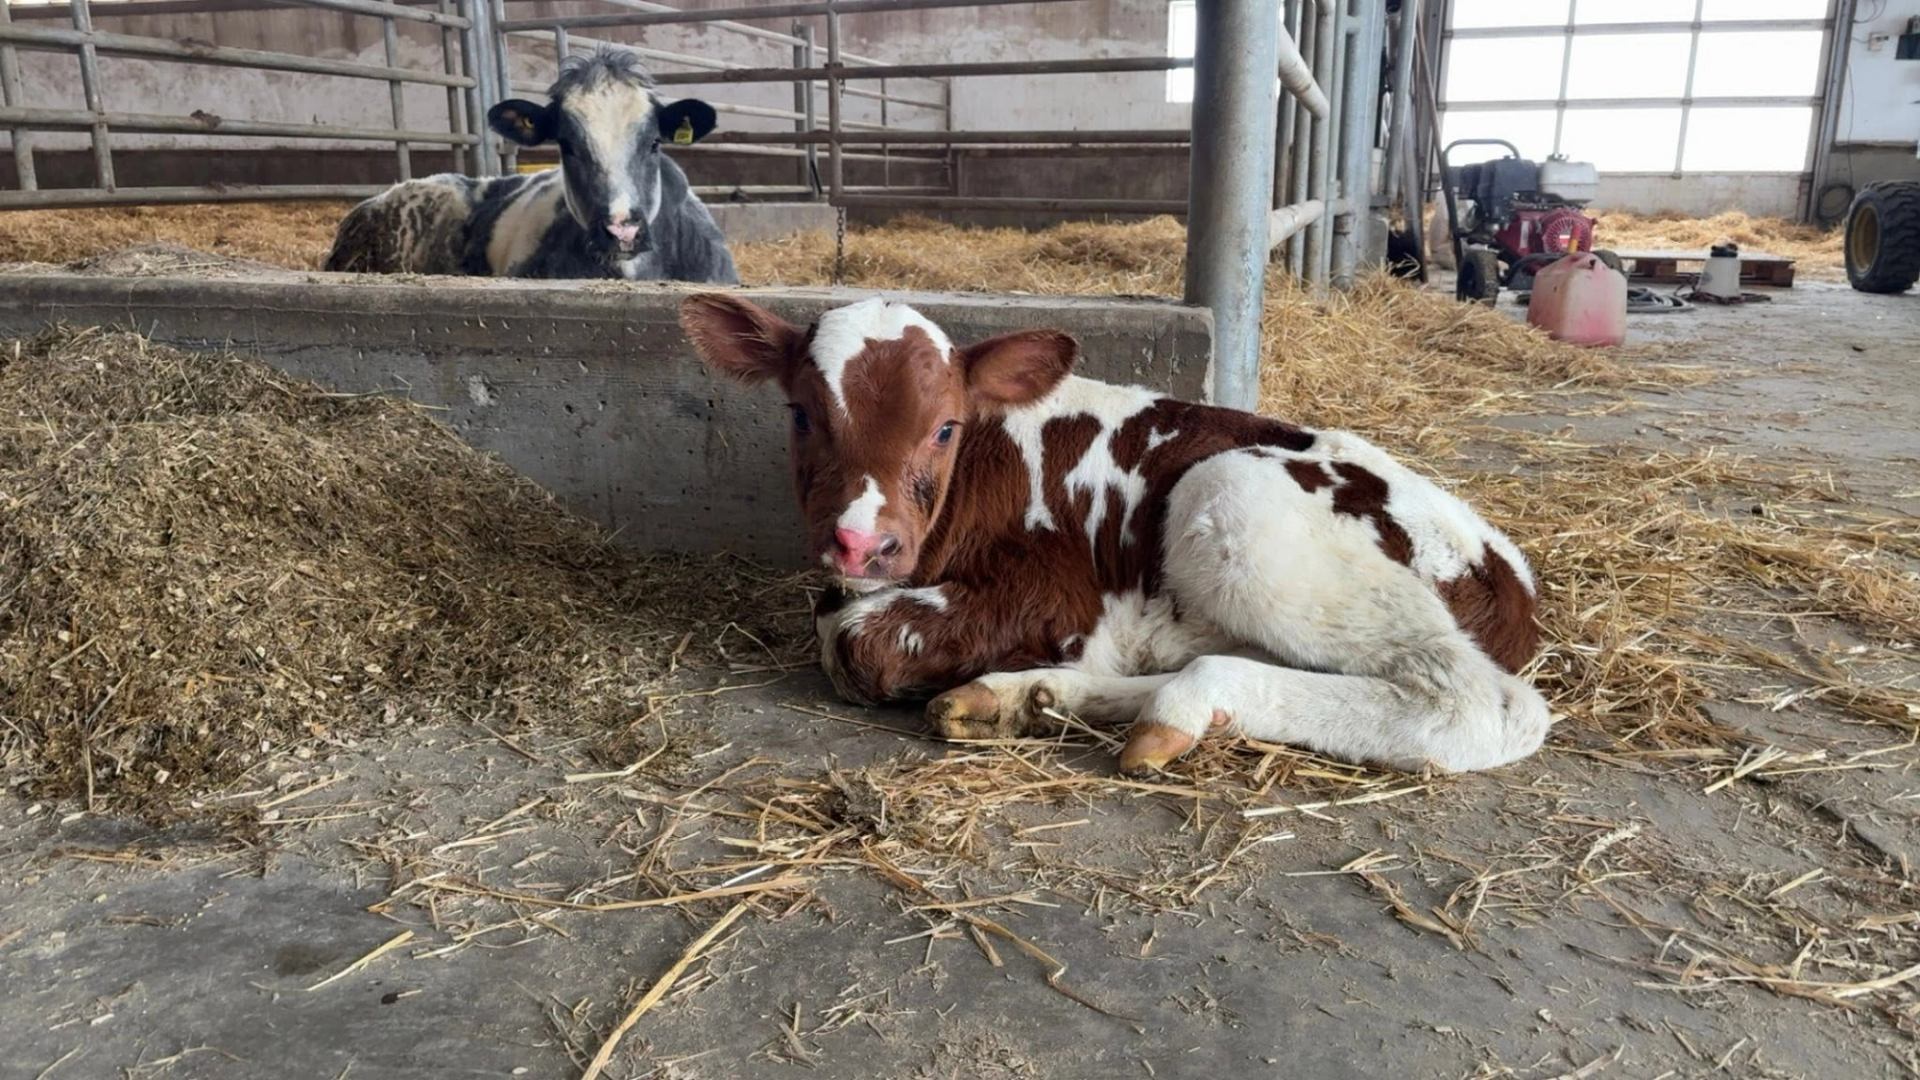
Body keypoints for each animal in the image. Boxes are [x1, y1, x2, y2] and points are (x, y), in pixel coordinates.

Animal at [678, 294, 1553, 776]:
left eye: (945, 427)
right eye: (801, 413)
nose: (862, 543)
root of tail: (1505, 568)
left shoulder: (1056, 595)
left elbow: (854, 638)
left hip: (1233, 502)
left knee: (1481, 703)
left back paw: (1178, 704)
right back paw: (1022, 699)